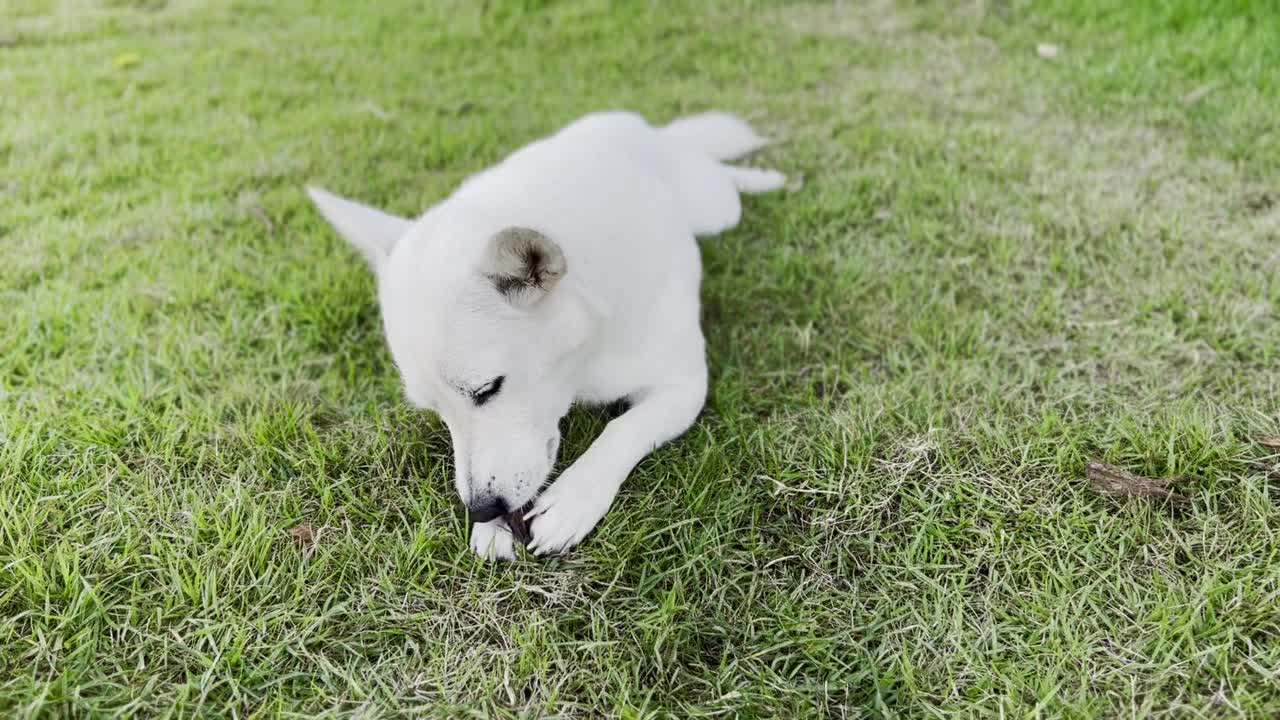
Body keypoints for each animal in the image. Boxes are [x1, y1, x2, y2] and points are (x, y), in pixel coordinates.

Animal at [307, 112, 778, 558]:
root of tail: (638, 126)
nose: (481, 510)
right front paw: (492, 529)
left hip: (716, 209)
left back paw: (763, 178)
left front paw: (575, 497)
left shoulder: (684, 386)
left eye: (487, 388)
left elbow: (623, 427)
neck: (587, 349)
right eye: (435, 411)